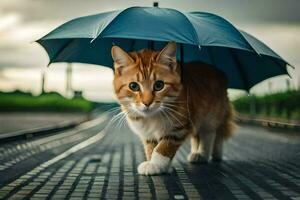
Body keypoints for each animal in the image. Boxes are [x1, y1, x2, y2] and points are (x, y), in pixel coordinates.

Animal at [111, 42, 236, 175]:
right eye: (133, 86)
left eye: (159, 85)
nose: (147, 103)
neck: (152, 117)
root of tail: (218, 72)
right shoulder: (148, 134)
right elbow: (151, 147)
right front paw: (154, 162)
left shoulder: (178, 128)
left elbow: (163, 146)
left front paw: (156, 164)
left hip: (211, 116)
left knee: (209, 135)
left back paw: (203, 154)